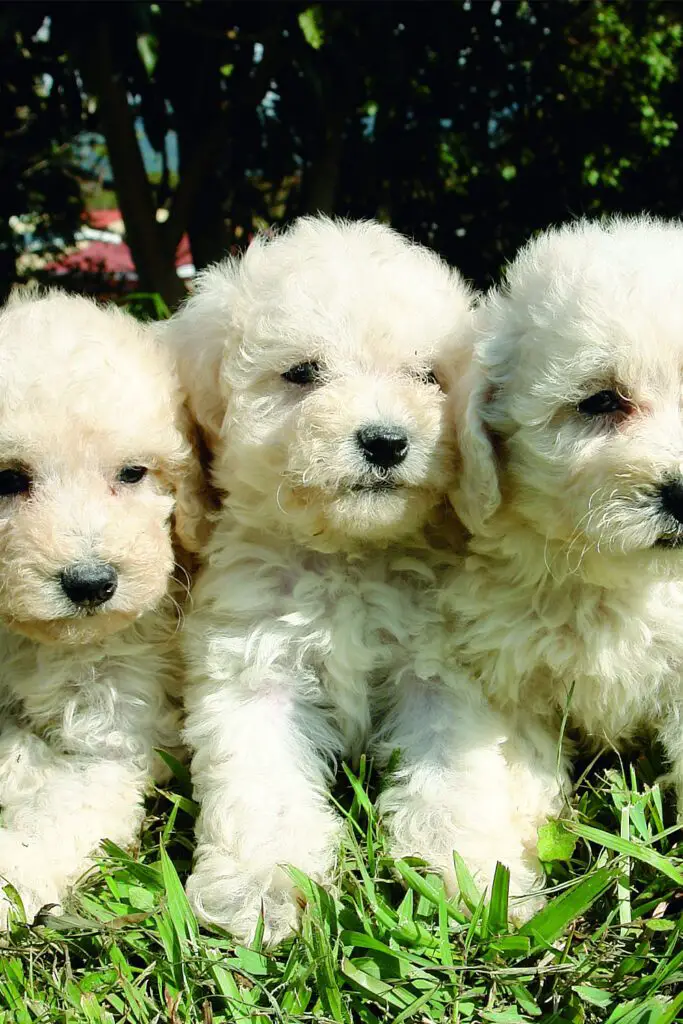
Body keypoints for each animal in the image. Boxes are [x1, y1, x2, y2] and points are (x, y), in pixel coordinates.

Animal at [165, 216, 475, 942]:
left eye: (428, 376)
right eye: (302, 373)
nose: (386, 441)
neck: (348, 553)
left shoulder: (444, 665)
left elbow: (455, 768)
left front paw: (466, 870)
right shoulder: (252, 666)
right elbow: (262, 787)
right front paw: (263, 889)